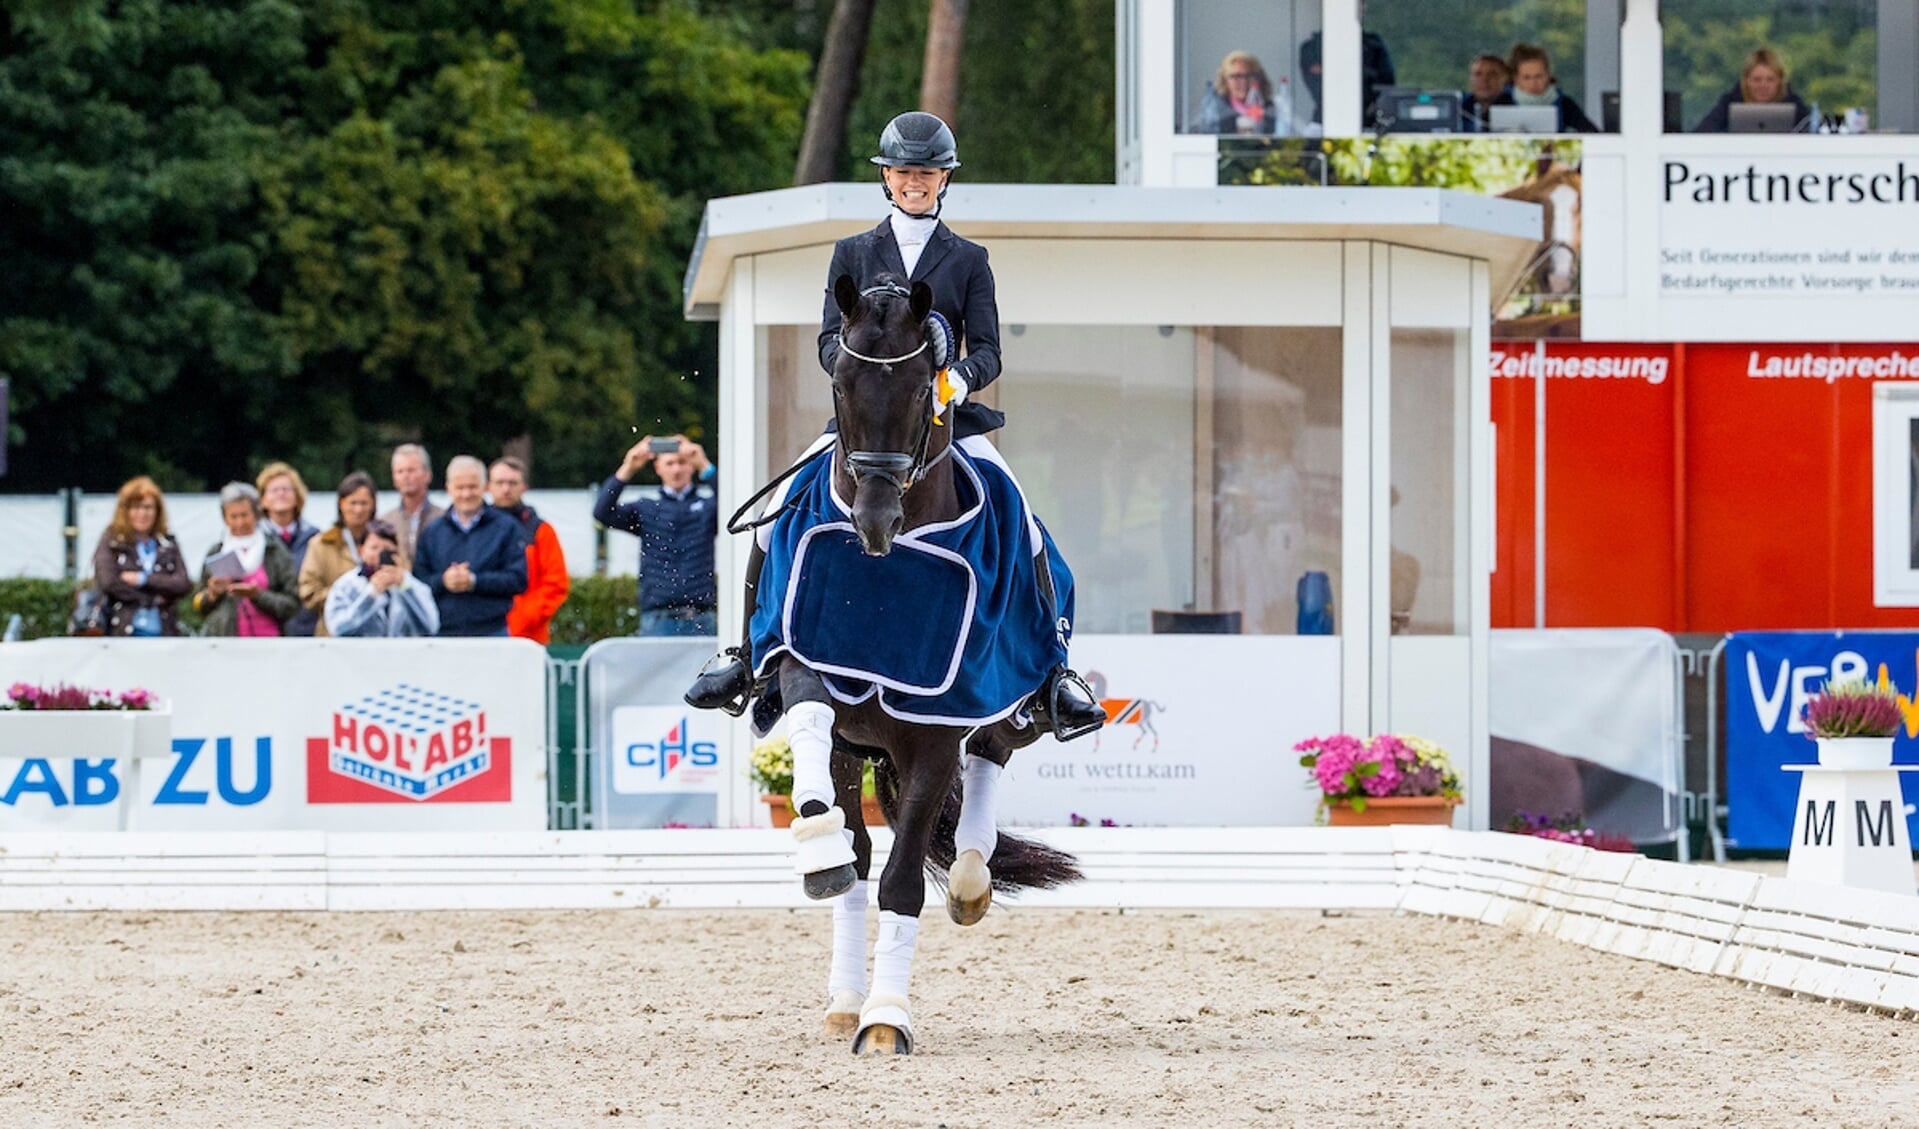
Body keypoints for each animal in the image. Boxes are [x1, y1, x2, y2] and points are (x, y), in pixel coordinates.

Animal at [775, 278, 1082, 1052]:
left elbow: (903, 881)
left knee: (992, 754)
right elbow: (811, 721)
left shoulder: (941, 722)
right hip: (858, 747)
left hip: (1010, 696)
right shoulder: (803, 662)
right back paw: (843, 996)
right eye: (838, 382)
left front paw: (886, 1021)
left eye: (922, 391)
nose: (874, 523)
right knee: (857, 855)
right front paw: (815, 843)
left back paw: (971, 879)